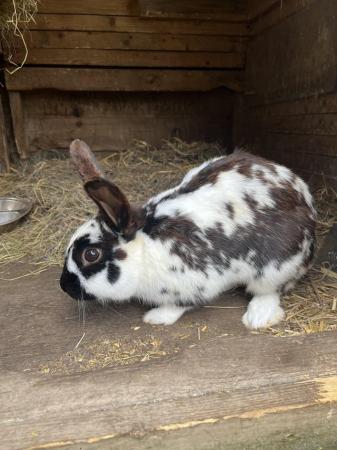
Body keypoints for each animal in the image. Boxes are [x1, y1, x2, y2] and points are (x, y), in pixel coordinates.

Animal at [60, 139, 316, 328]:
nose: (64, 286)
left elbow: (180, 305)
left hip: (275, 267)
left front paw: (156, 317)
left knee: (270, 290)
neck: (144, 245)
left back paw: (258, 318)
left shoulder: (194, 283)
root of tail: (306, 201)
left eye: (91, 255)